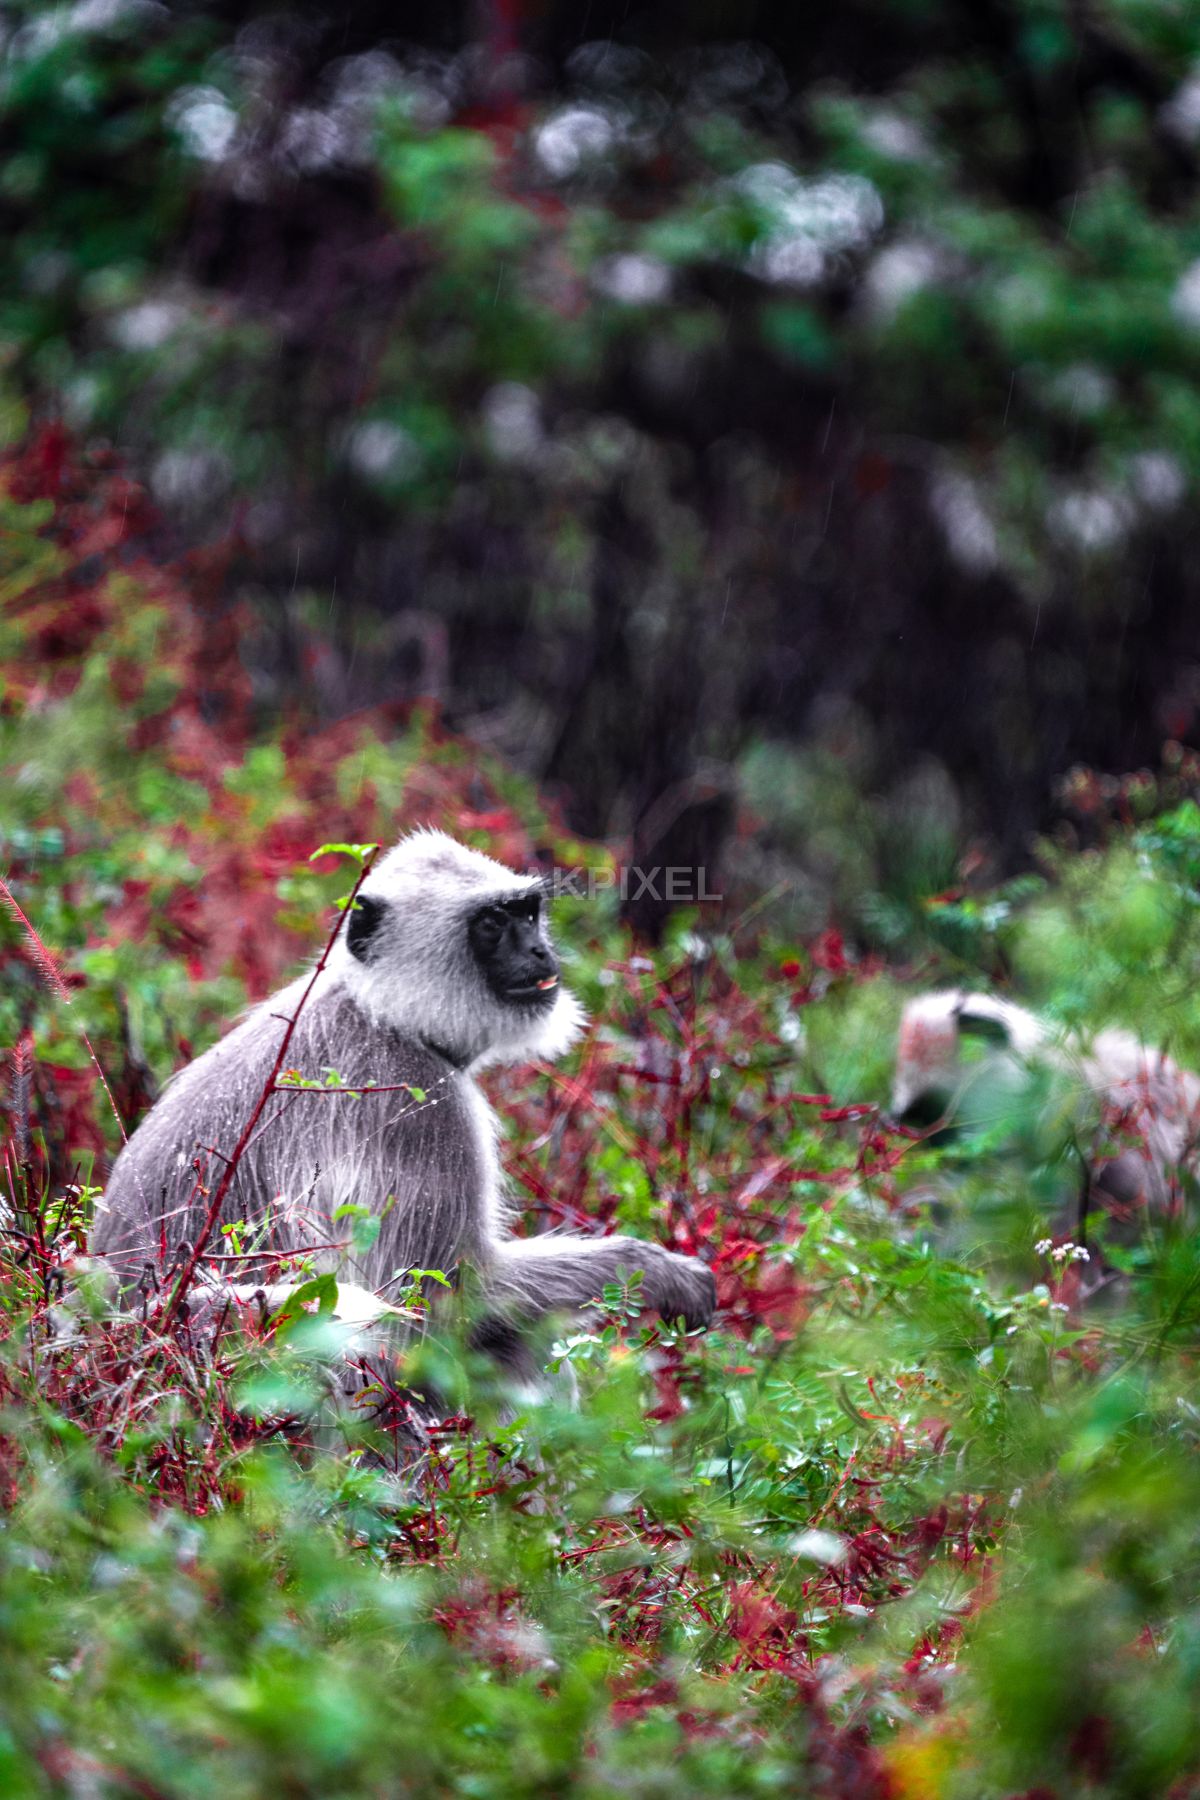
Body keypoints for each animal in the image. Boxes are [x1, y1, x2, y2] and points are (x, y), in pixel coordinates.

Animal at [90, 831, 716, 1382]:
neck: (382, 1013)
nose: (541, 951)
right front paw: (659, 1272)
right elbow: (446, 1300)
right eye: (492, 924)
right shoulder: (422, 1104)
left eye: (527, 913)